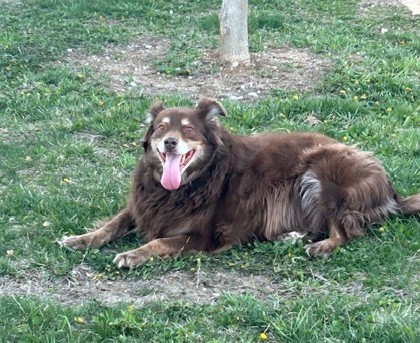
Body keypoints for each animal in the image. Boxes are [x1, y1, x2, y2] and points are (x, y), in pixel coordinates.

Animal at [61, 97, 420, 268]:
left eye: (188, 129)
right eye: (161, 127)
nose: (170, 142)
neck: (194, 181)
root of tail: (390, 187)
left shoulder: (202, 236)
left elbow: (160, 242)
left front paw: (133, 254)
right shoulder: (143, 205)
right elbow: (112, 224)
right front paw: (80, 239)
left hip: (320, 170)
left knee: (346, 229)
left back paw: (321, 246)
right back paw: (290, 236)